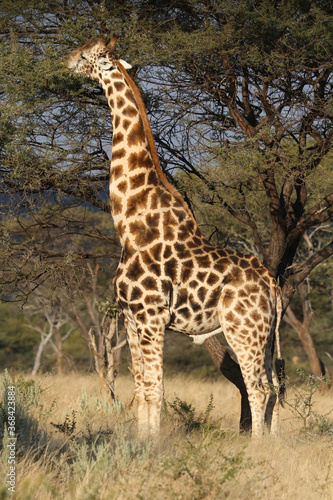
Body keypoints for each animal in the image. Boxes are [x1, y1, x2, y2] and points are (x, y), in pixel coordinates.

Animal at [67, 36, 282, 438]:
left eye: (87, 54)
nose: (66, 61)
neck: (129, 224)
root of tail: (273, 285)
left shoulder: (152, 316)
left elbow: (156, 390)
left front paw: (153, 444)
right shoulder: (132, 318)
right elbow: (141, 388)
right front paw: (140, 443)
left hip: (244, 328)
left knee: (258, 387)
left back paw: (257, 445)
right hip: (267, 332)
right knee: (275, 385)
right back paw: (274, 442)